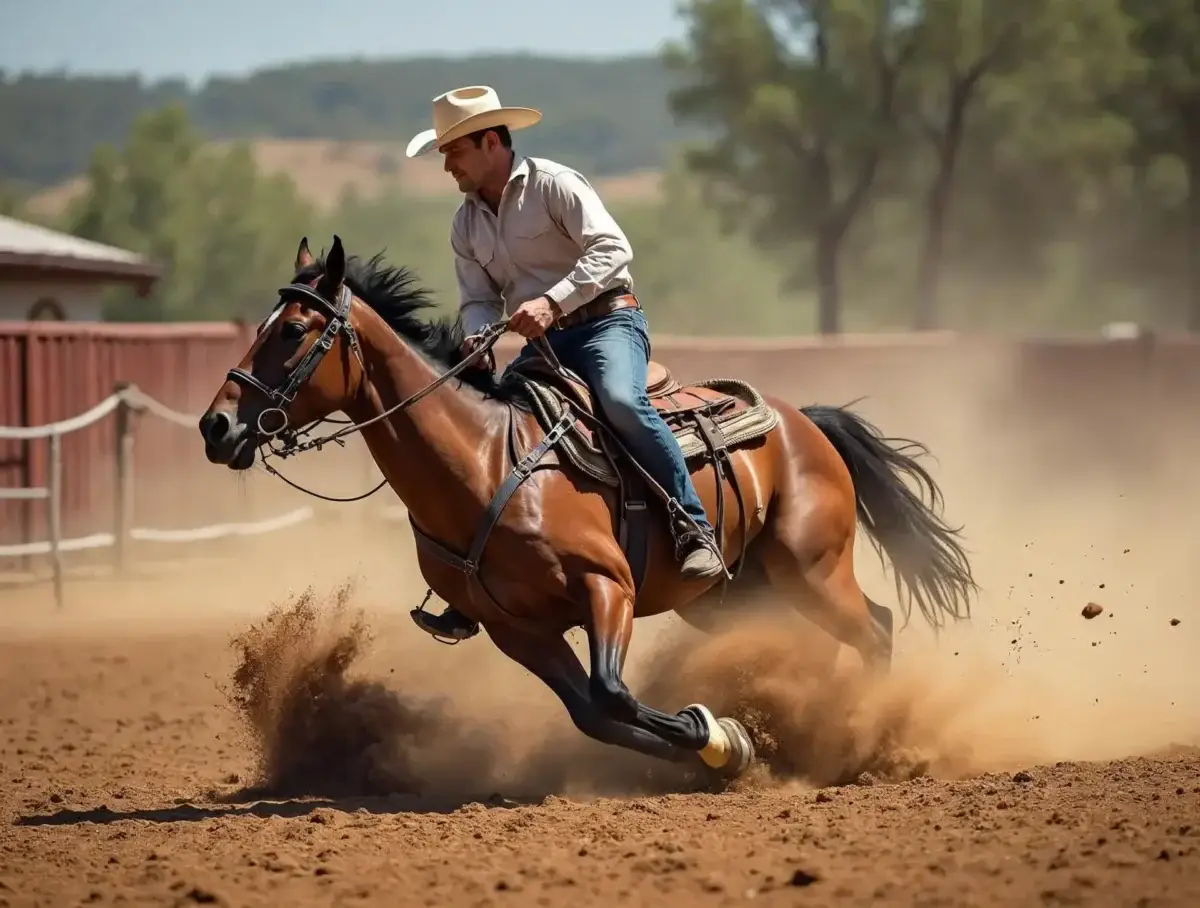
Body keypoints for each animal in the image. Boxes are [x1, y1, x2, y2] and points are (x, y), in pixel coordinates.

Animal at [197, 234, 976, 781]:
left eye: (292, 330)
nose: (216, 426)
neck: (484, 461)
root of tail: (802, 422)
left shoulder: (608, 587)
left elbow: (612, 690)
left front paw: (719, 737)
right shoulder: (516, 630)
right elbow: (593, 713)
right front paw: (720, 747)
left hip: (811, 569)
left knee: (875, 629)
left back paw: (858, 737)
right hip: (733, 595)